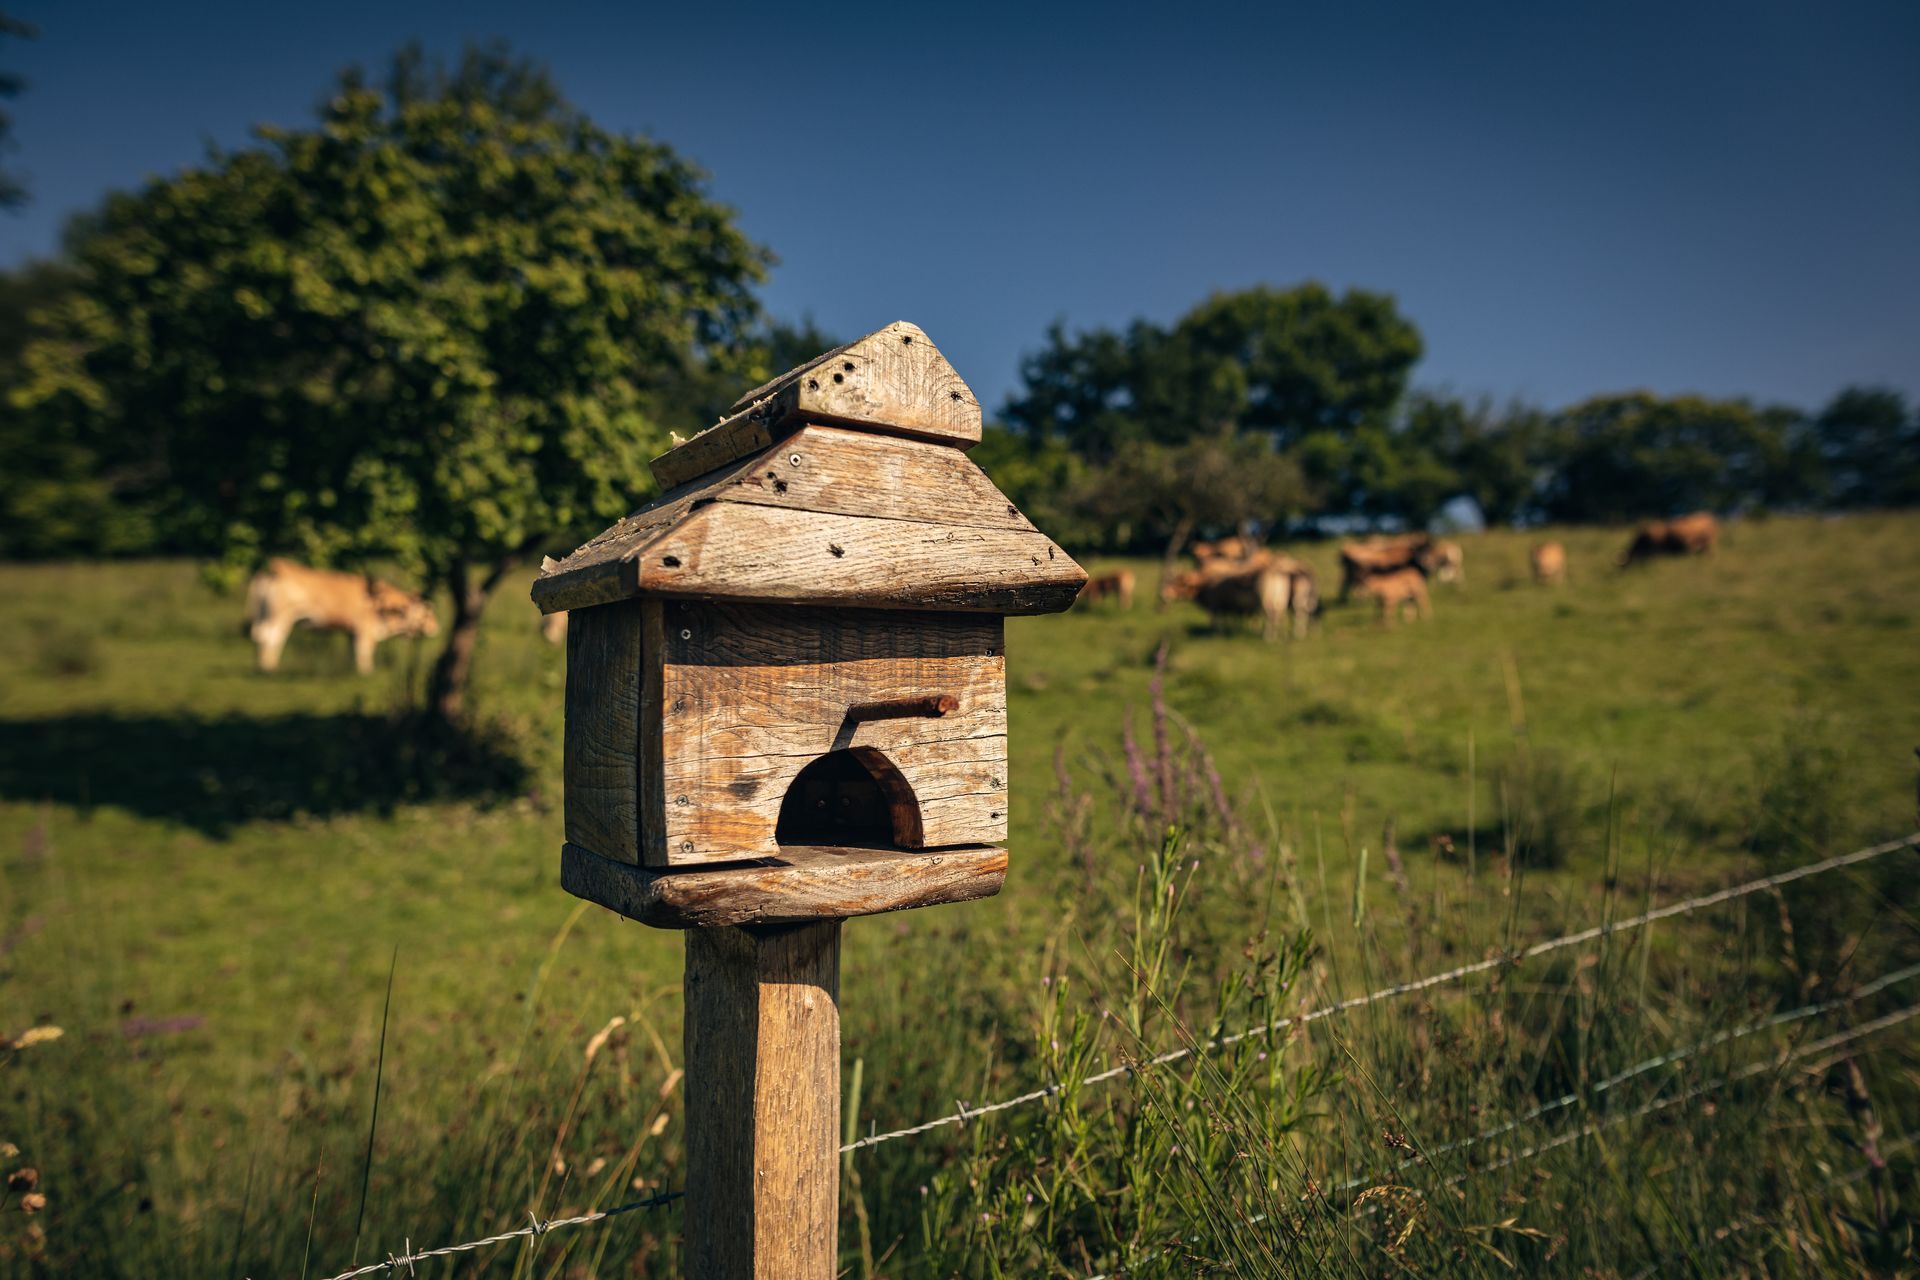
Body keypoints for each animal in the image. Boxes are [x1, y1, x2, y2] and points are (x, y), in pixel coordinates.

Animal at [245, 558, 439, 674]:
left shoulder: (352, 632)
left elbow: (353, 652)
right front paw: (366, 673)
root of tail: (275, 568)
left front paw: (354, 671)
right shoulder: (365, 630)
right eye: (427, 614)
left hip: (264, 614)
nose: (435, 627)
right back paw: (269, 668)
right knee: (273, 637)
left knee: (262, 636)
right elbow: (364, 652)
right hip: (281, 616)